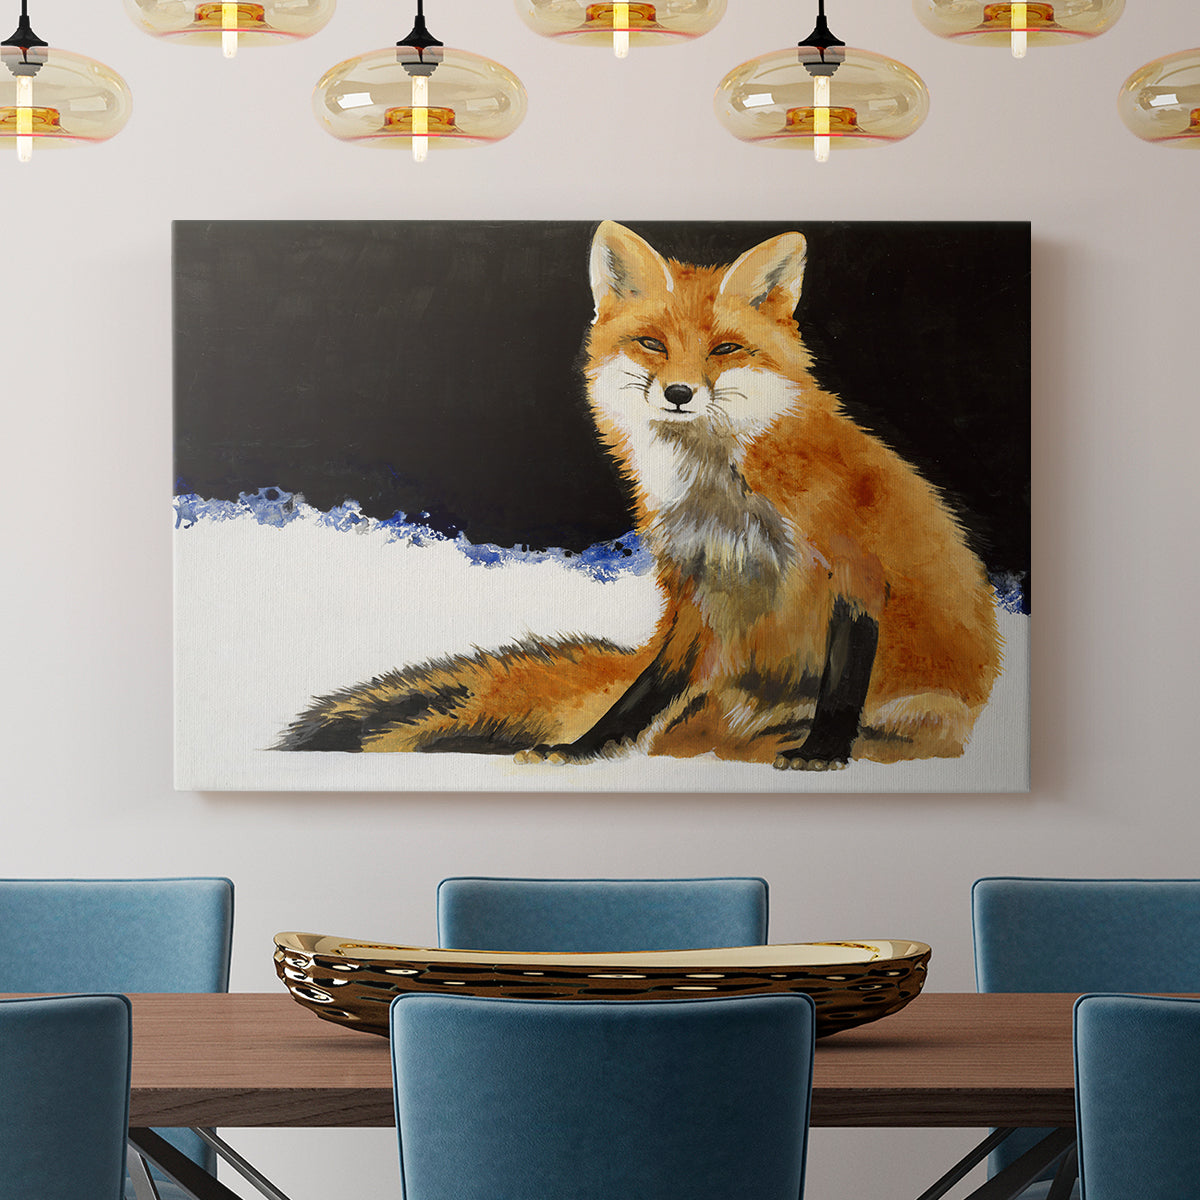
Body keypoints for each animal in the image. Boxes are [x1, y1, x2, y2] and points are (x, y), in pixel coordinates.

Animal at [277, 221, 1002, 770]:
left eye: (725, 349)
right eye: (652, 343)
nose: (679, 393)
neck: (723, 495)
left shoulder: (854, 570)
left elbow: (843, 681)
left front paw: (823, 751)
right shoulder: (693, 588)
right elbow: (642, 692)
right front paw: (585, 748)